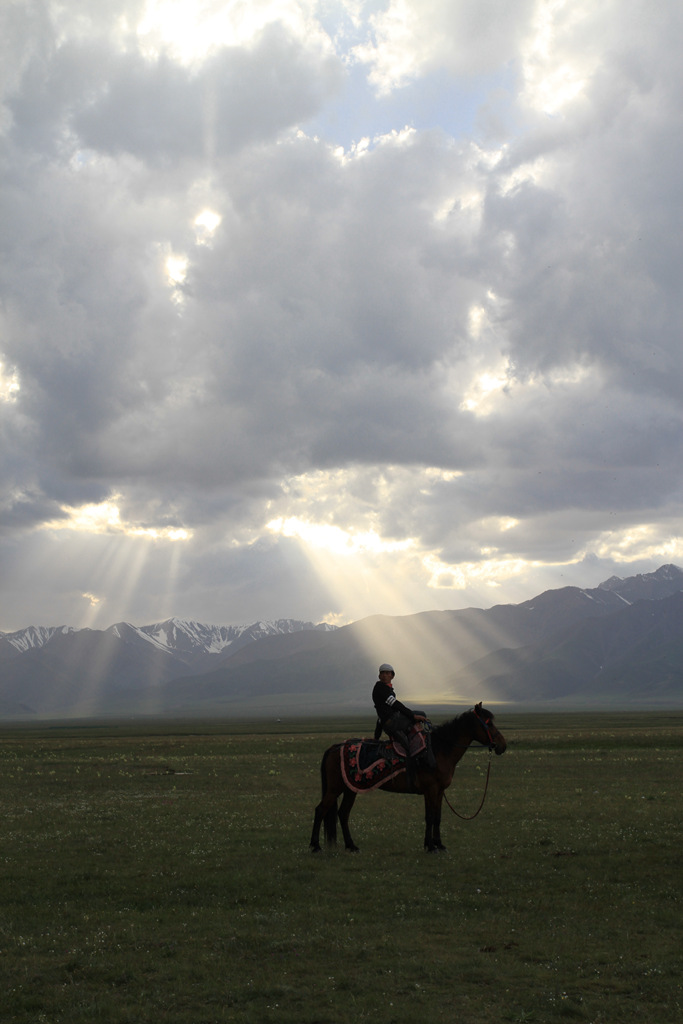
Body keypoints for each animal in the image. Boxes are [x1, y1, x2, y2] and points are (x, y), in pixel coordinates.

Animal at [309, 704, 507, 856]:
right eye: (488, 723)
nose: (502, 746)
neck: (440, 750)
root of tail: (335, 747)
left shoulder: (439, 791)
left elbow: (437, 817)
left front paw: (438, 844)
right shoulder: (430, 789)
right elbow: (430, 817)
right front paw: (431, 847)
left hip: (350, 788)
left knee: (343, 813)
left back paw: (351, 846)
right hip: (335, 788)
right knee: (321, 810)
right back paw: (315, 846)